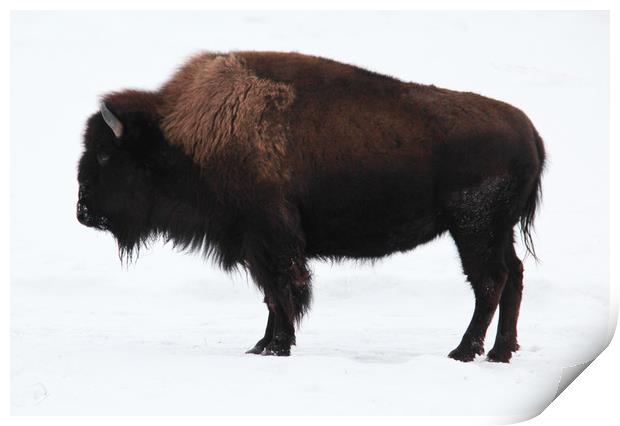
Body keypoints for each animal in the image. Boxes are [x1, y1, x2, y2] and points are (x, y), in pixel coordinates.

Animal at [76, 50, 544, 362]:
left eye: (105, 154)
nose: (83, 212)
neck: (181, 137)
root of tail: (531, 135)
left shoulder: (271, 238)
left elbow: (284, 290)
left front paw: (276, 347)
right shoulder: (257, 246)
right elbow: (271, 295)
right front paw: (260, 345)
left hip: (474, 229)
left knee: (490, 282)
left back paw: (463, 351)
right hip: (493, 231)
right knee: (514, 276)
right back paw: (501, 352)